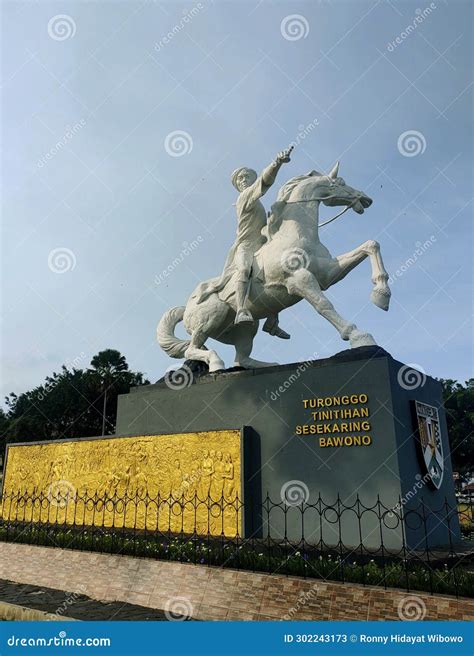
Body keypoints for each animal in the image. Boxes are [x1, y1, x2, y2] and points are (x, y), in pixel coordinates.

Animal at [157, 162, 390, 372]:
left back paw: (266, 364)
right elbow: (324, 305)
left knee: (240, 359)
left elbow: (370, 245)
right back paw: (216, 363)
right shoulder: (300, 279)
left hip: (246, 328)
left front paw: (381, 295)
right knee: (193, 349)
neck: (297, 236)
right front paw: (358, 336)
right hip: (212, 318)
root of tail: (188, 306)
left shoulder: (328, 274)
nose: (366, 198)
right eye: (340, 182)